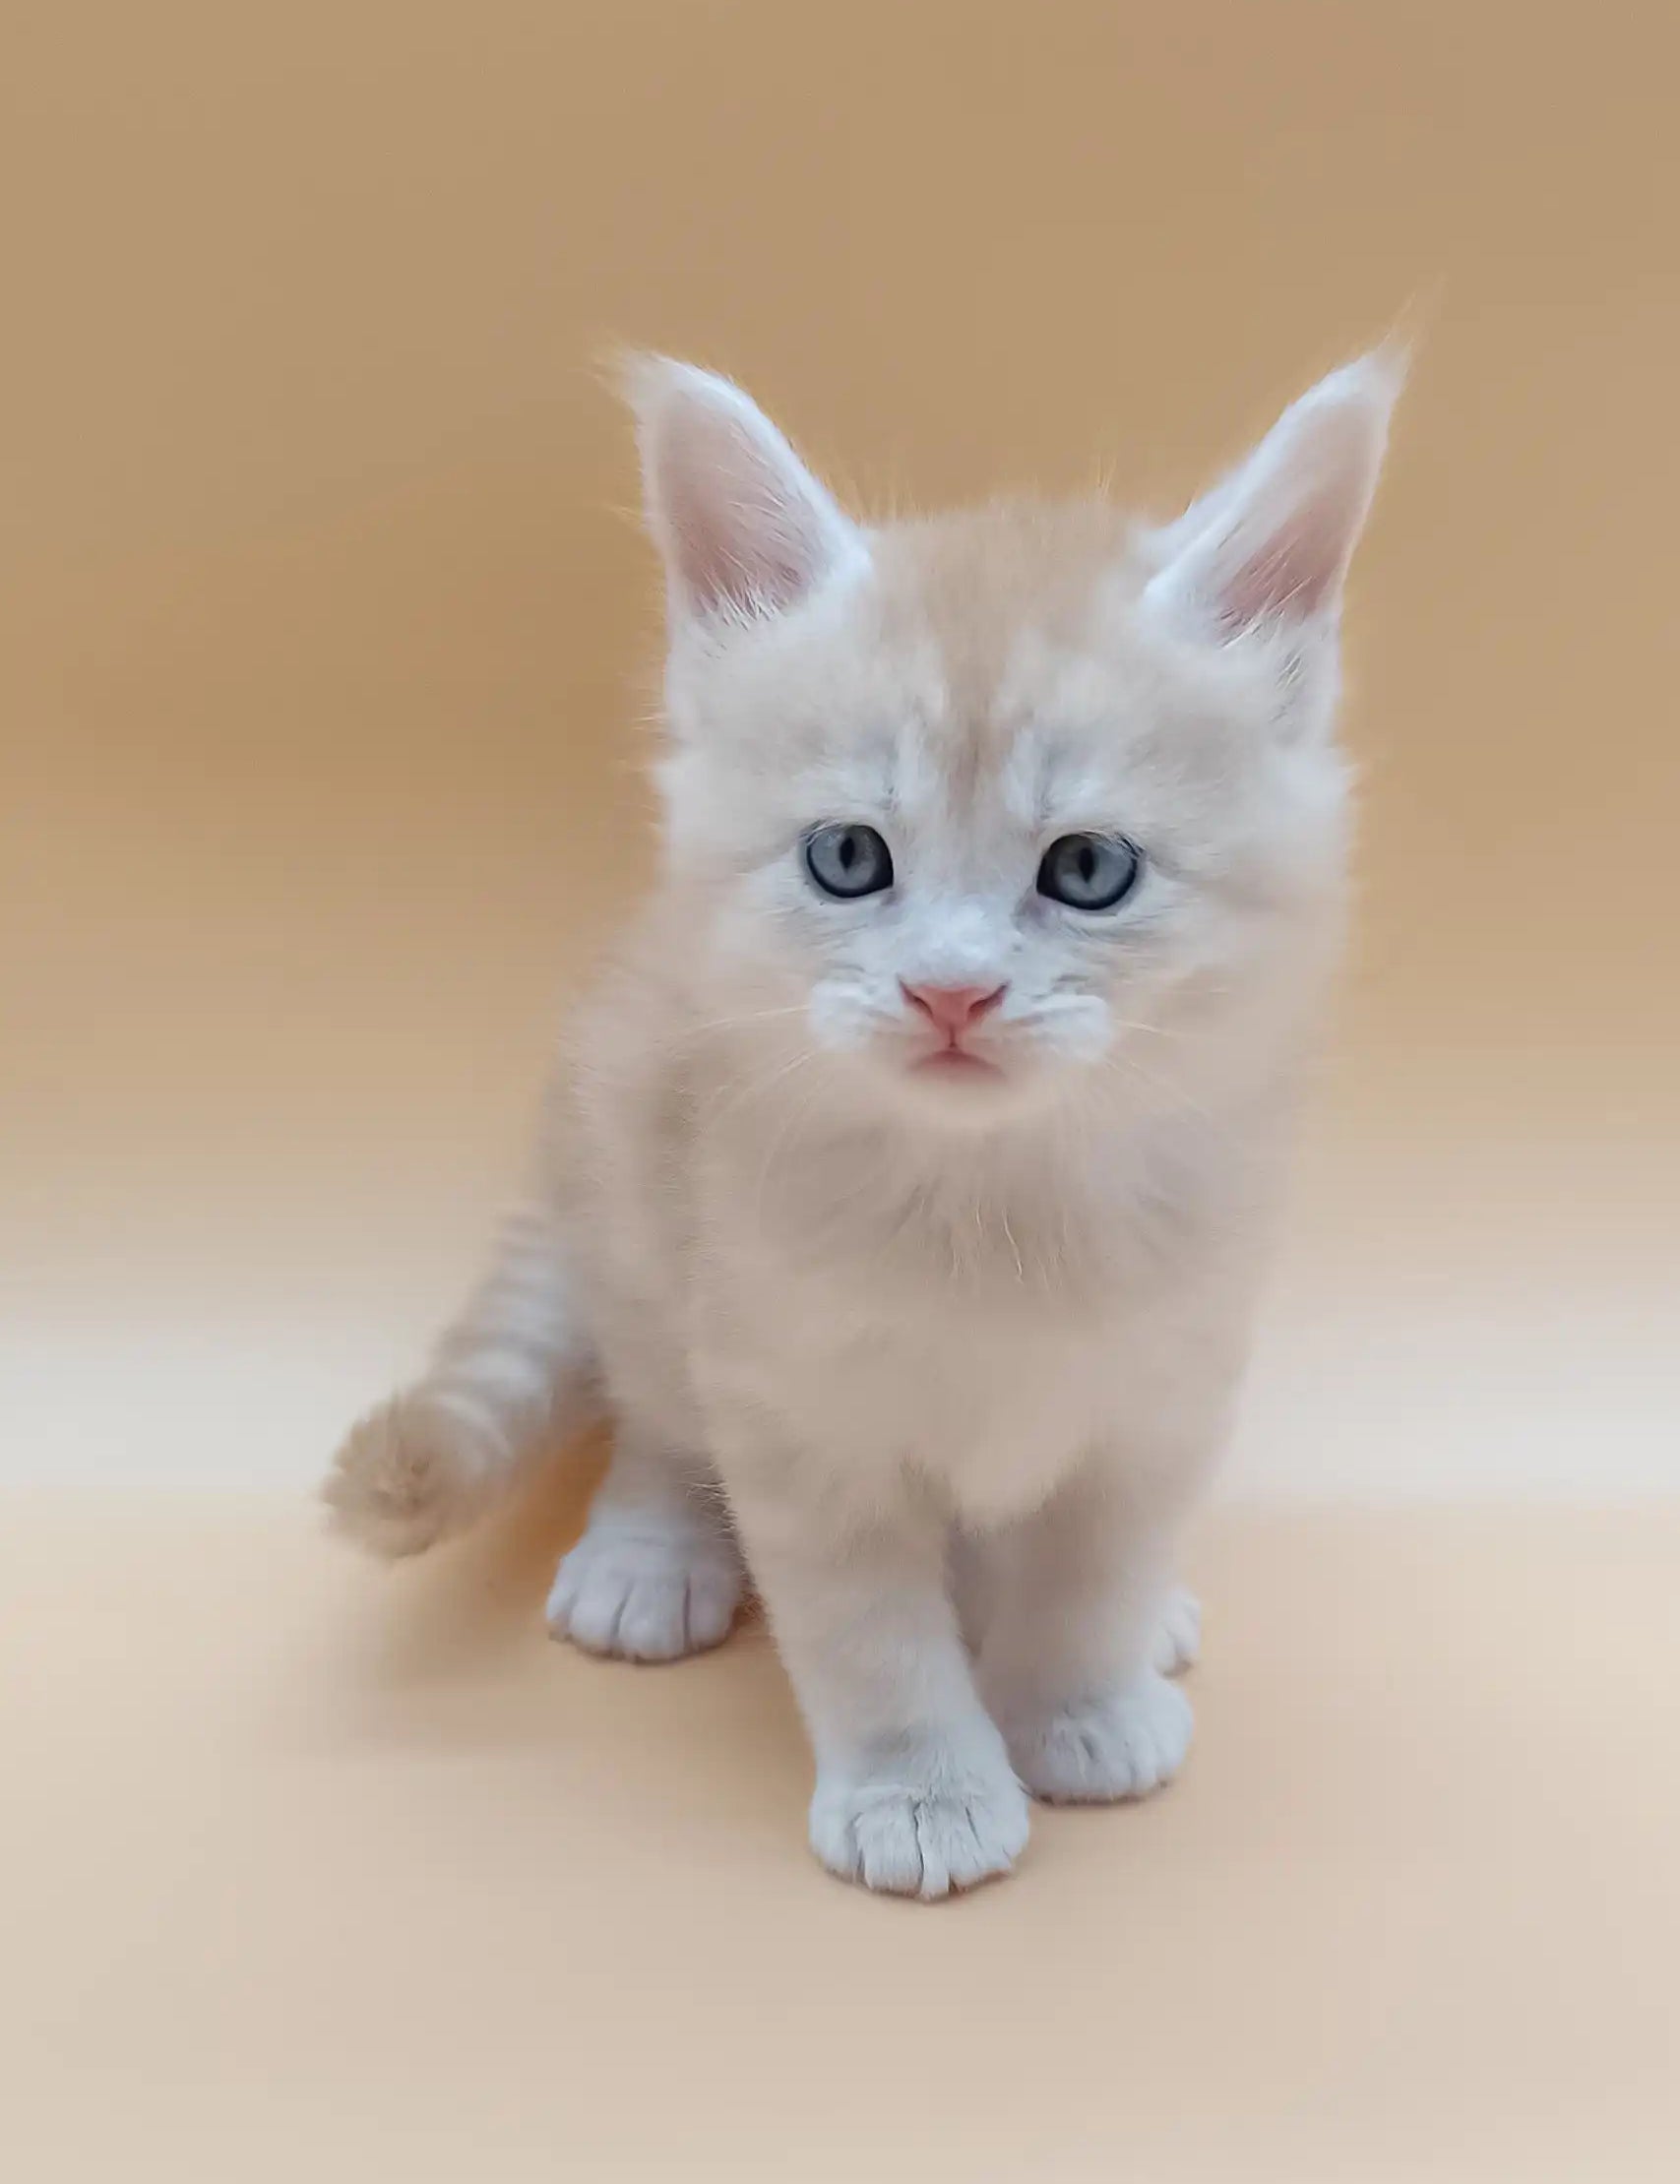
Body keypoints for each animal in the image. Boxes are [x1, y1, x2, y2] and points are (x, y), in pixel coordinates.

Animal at [321, 344, 1398, 1896]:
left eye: (1087, 868)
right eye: (848, 857)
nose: (950, 987)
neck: (996, 1207)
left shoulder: (1168, 1382)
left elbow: (1094, 1563)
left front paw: (1079, 1699)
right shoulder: (789, 1398)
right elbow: (866, 1627)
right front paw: (922, 1788)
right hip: (635, 1207)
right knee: (655, 1411)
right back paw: (650, 1551)